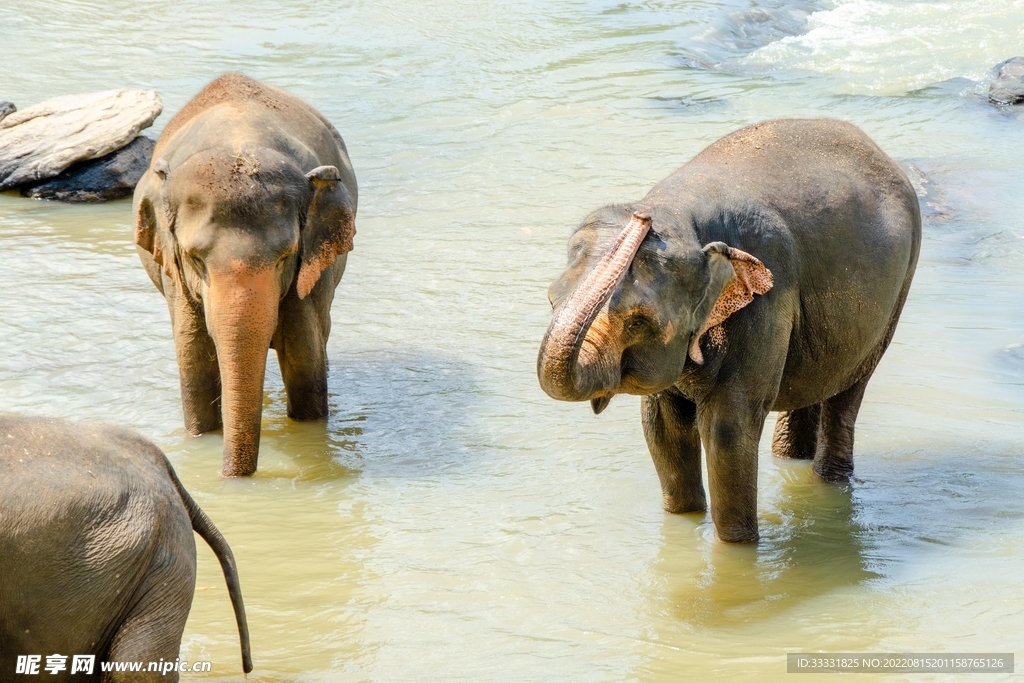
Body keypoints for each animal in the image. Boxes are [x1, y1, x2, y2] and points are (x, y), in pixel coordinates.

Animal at [133, 73, 357, 477]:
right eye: (195, 259)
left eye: (285, 257)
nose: (229, 478)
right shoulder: (174, 276)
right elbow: (193, 362)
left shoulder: (309, 277)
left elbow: (305, 359)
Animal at [537, 118, 921, 543]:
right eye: (552, 302)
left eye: (638, 321)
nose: (640, 218)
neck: (678, 212)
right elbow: (661, 428)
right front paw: (684, 517)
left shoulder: (767, 301)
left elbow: (728, 430)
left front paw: (737, 545)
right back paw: (790, 458)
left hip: (897, 292)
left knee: (848, 391)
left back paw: (830, 479)